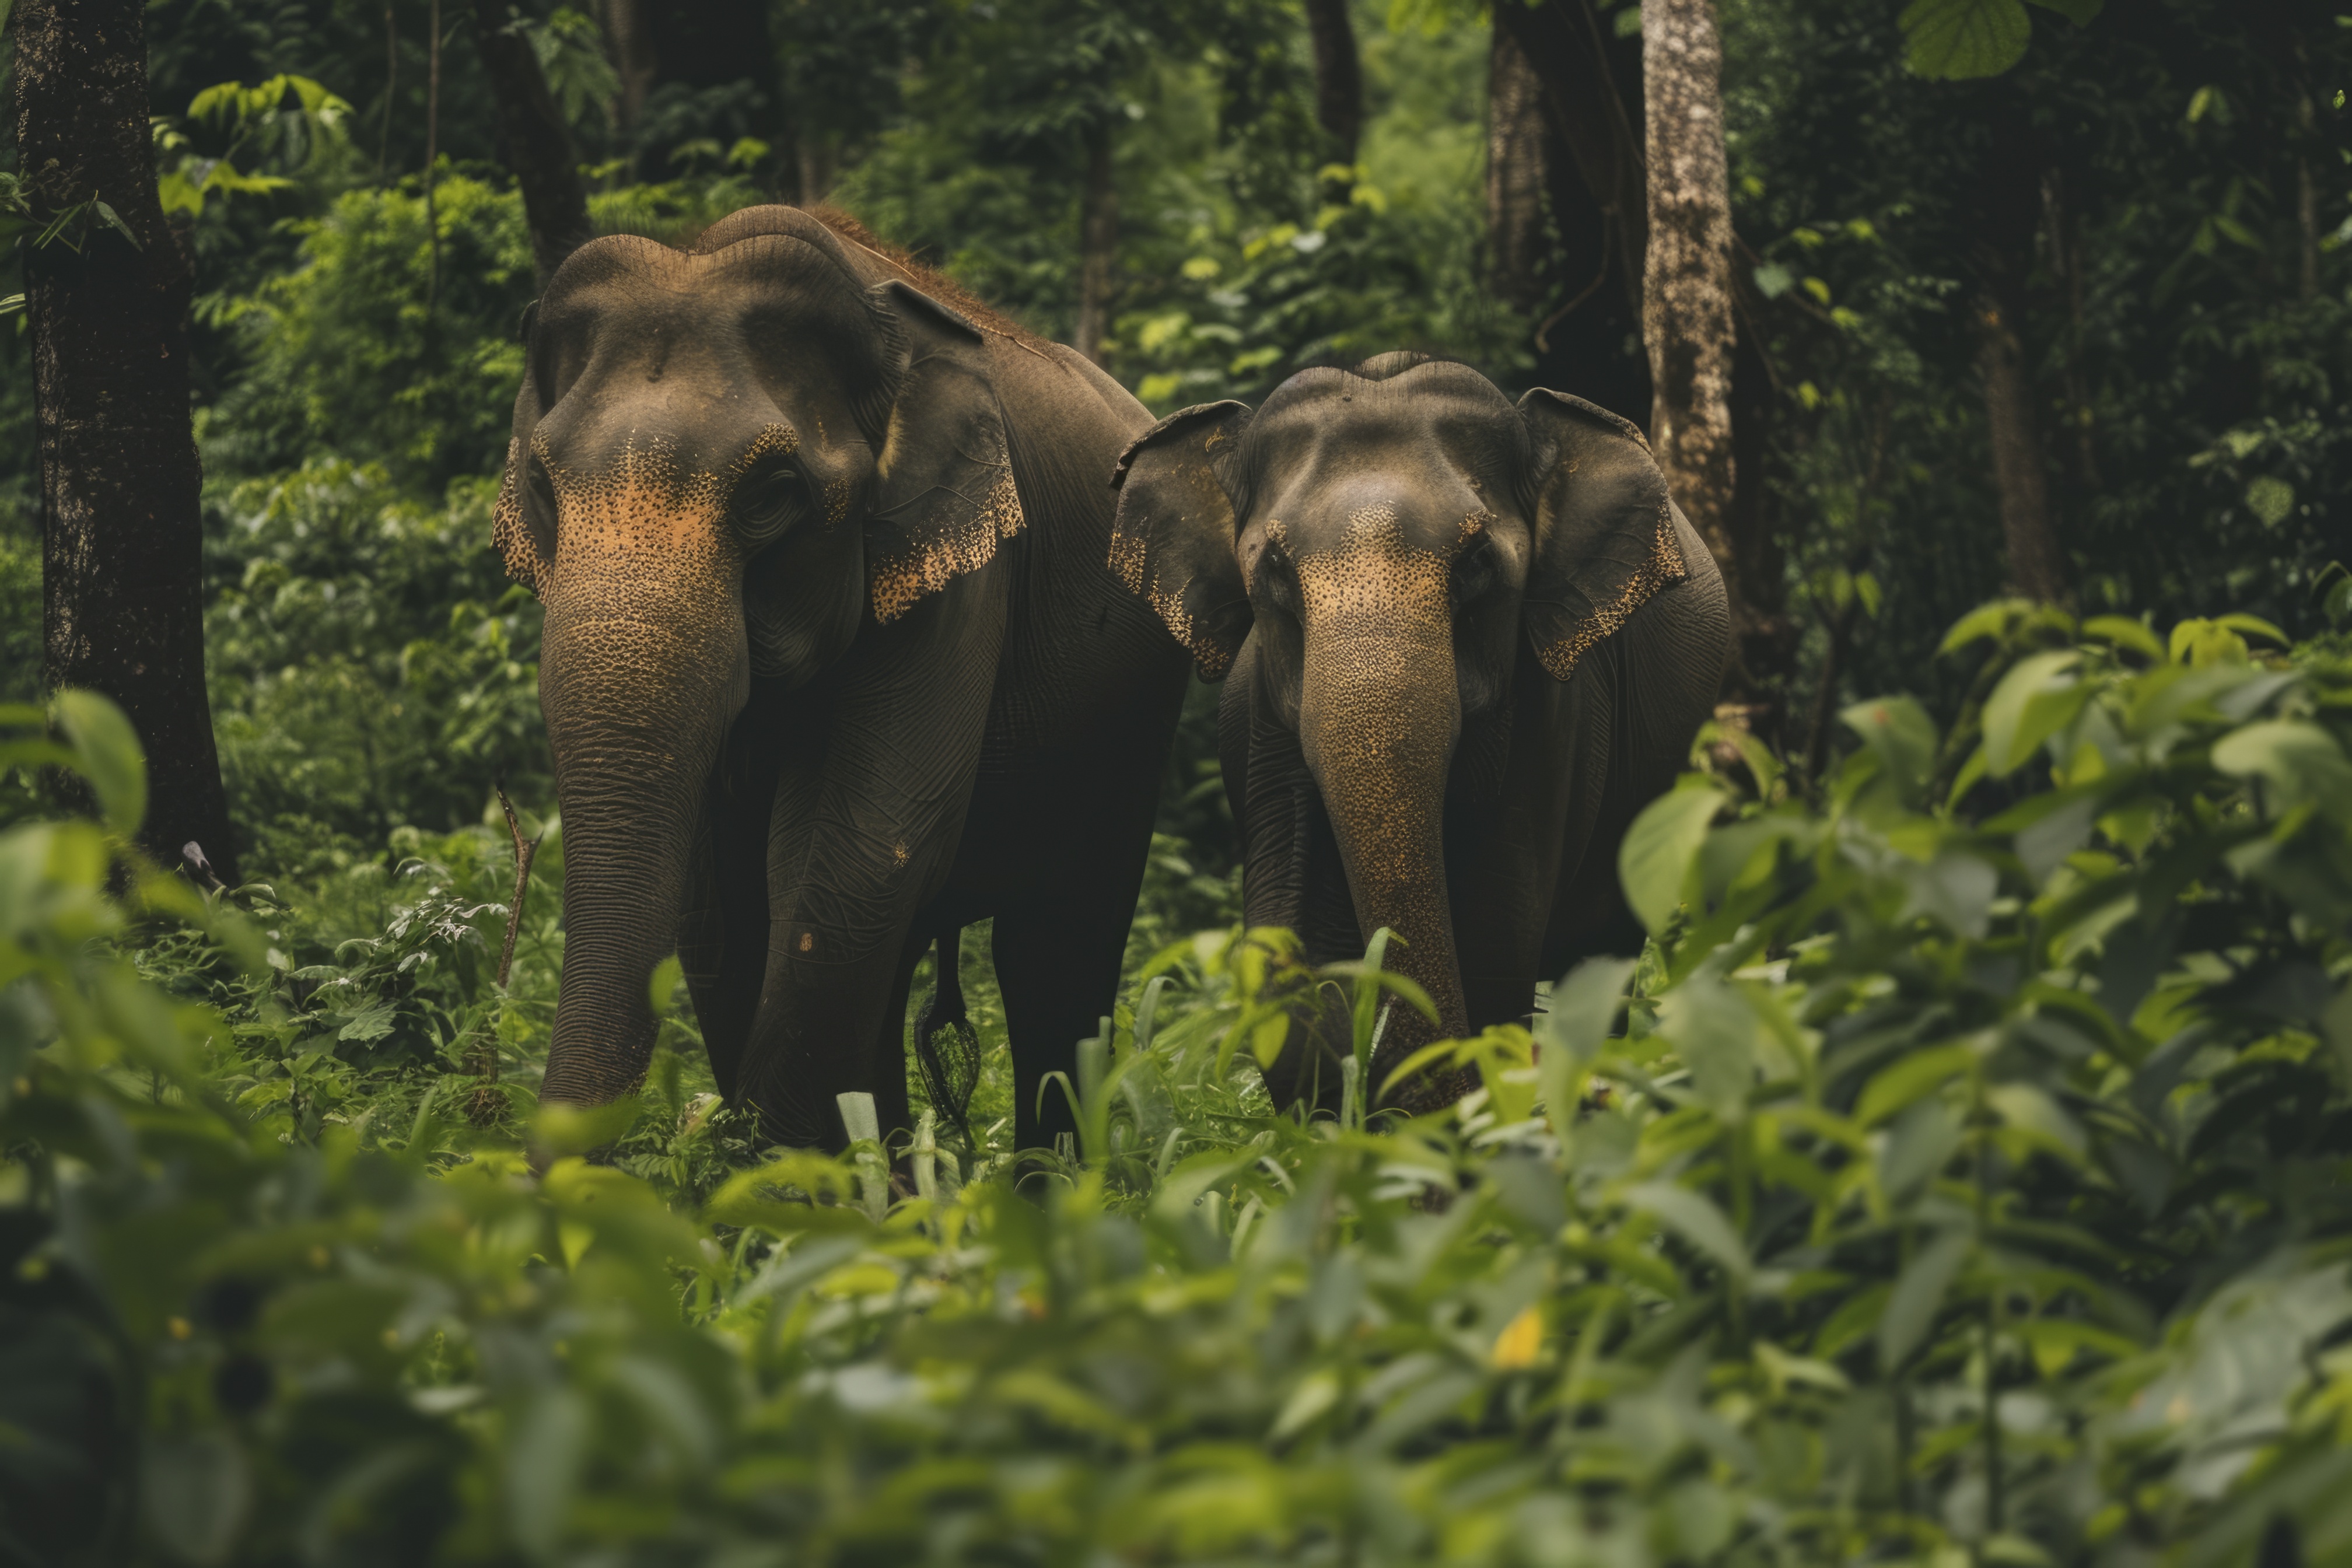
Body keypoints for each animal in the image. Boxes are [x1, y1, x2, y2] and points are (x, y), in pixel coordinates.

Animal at [498, 205, 1195, 1152]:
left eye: (771, 494)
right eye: (541, 484)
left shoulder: (962, 568)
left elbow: (864, 846)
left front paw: (779, 1171)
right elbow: (720, 899)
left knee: (1056, 950)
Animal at [1100, 352, 1731, 1105]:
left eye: (1478, 561)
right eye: (1273, 568)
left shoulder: (1558, 715)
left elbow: (1495, 939)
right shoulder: (1265, 733)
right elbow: (1296, 968)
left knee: (1602, 957)